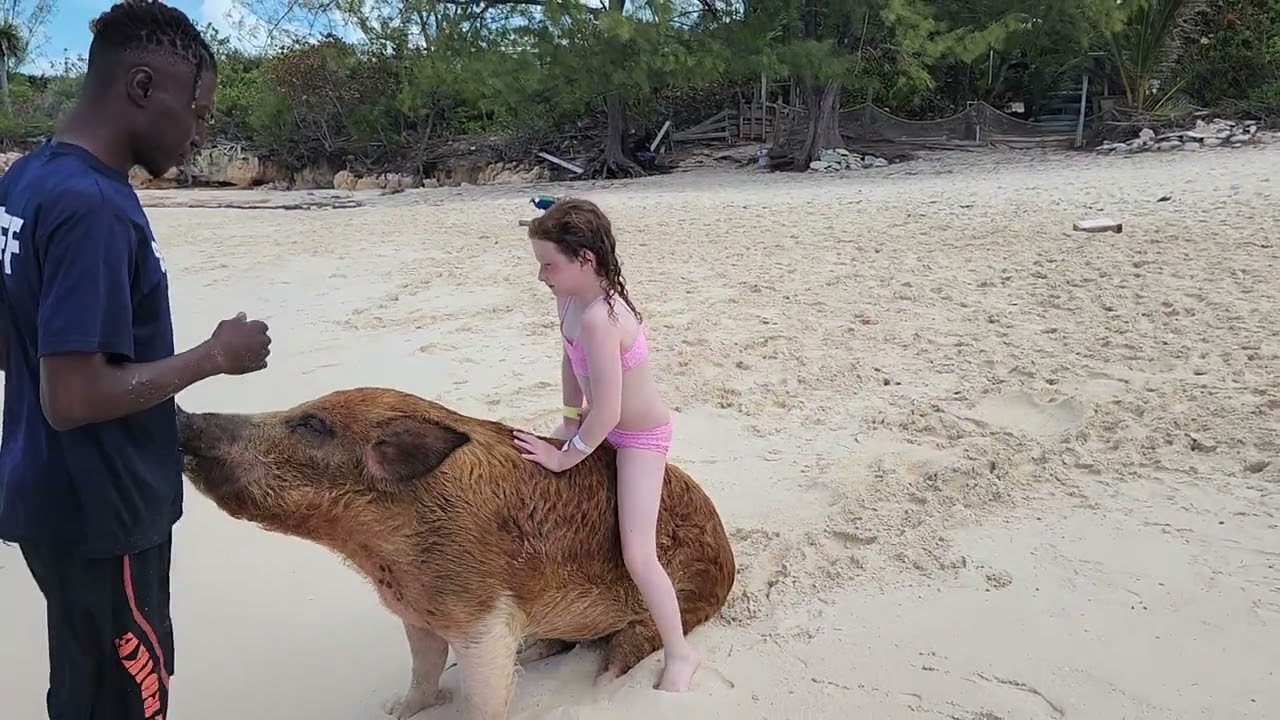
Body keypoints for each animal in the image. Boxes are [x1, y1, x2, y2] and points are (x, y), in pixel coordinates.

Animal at [176, 387, 736, 720]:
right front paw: (396, 712)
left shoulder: (483, 616)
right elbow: (423, 671)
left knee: (625, 652)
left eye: (312, 425)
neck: (384, 555)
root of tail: (730, 560)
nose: (185, 416)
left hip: (676, 602)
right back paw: (534, 655)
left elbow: (484, 694)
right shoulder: (415, 614)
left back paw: (602, 691)